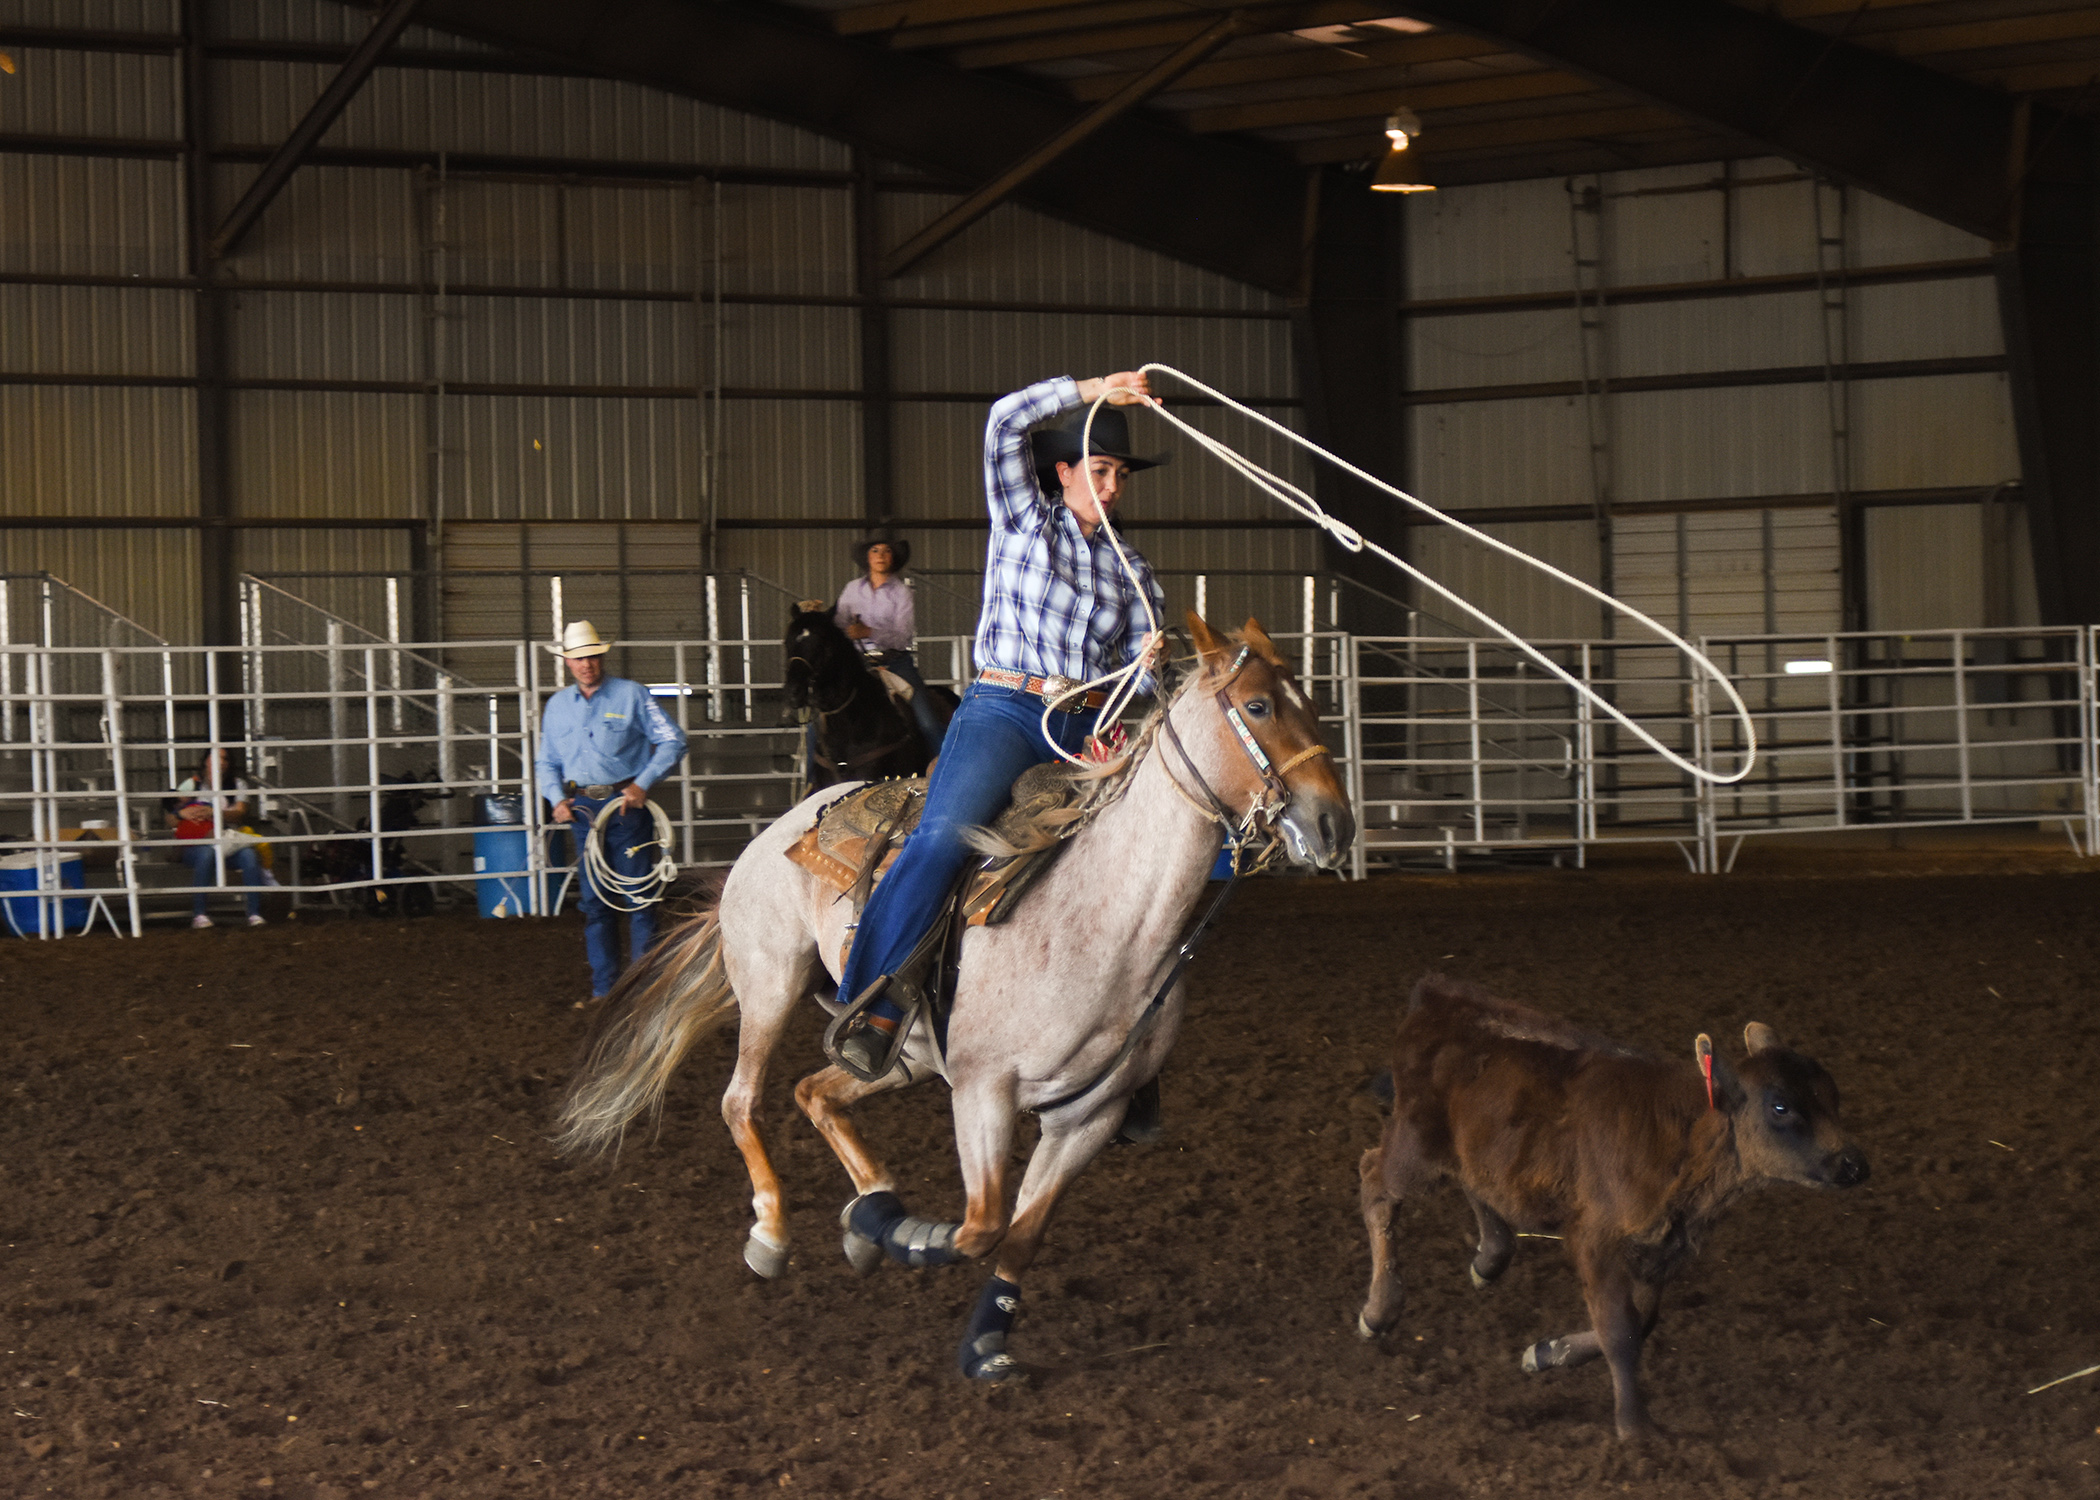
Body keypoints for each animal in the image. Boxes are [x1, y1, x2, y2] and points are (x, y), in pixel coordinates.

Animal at [1360, 974, 1873, 1428]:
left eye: (1833, 1096)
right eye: (1780, 1106)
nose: (1853, 1164)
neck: (1681, 1137)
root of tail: (1436, 997)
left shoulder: (1659, 1246)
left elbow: (1641, 1321)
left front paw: (1548, 1352)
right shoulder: (1595, 1238)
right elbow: (1621, 1330)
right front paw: (1636, 1429)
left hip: (1477, 1145)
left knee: (1476, 1183)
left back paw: (1489, 1258)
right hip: (1414, 1146)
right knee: (1374, 1183)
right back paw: (1379, 1310)